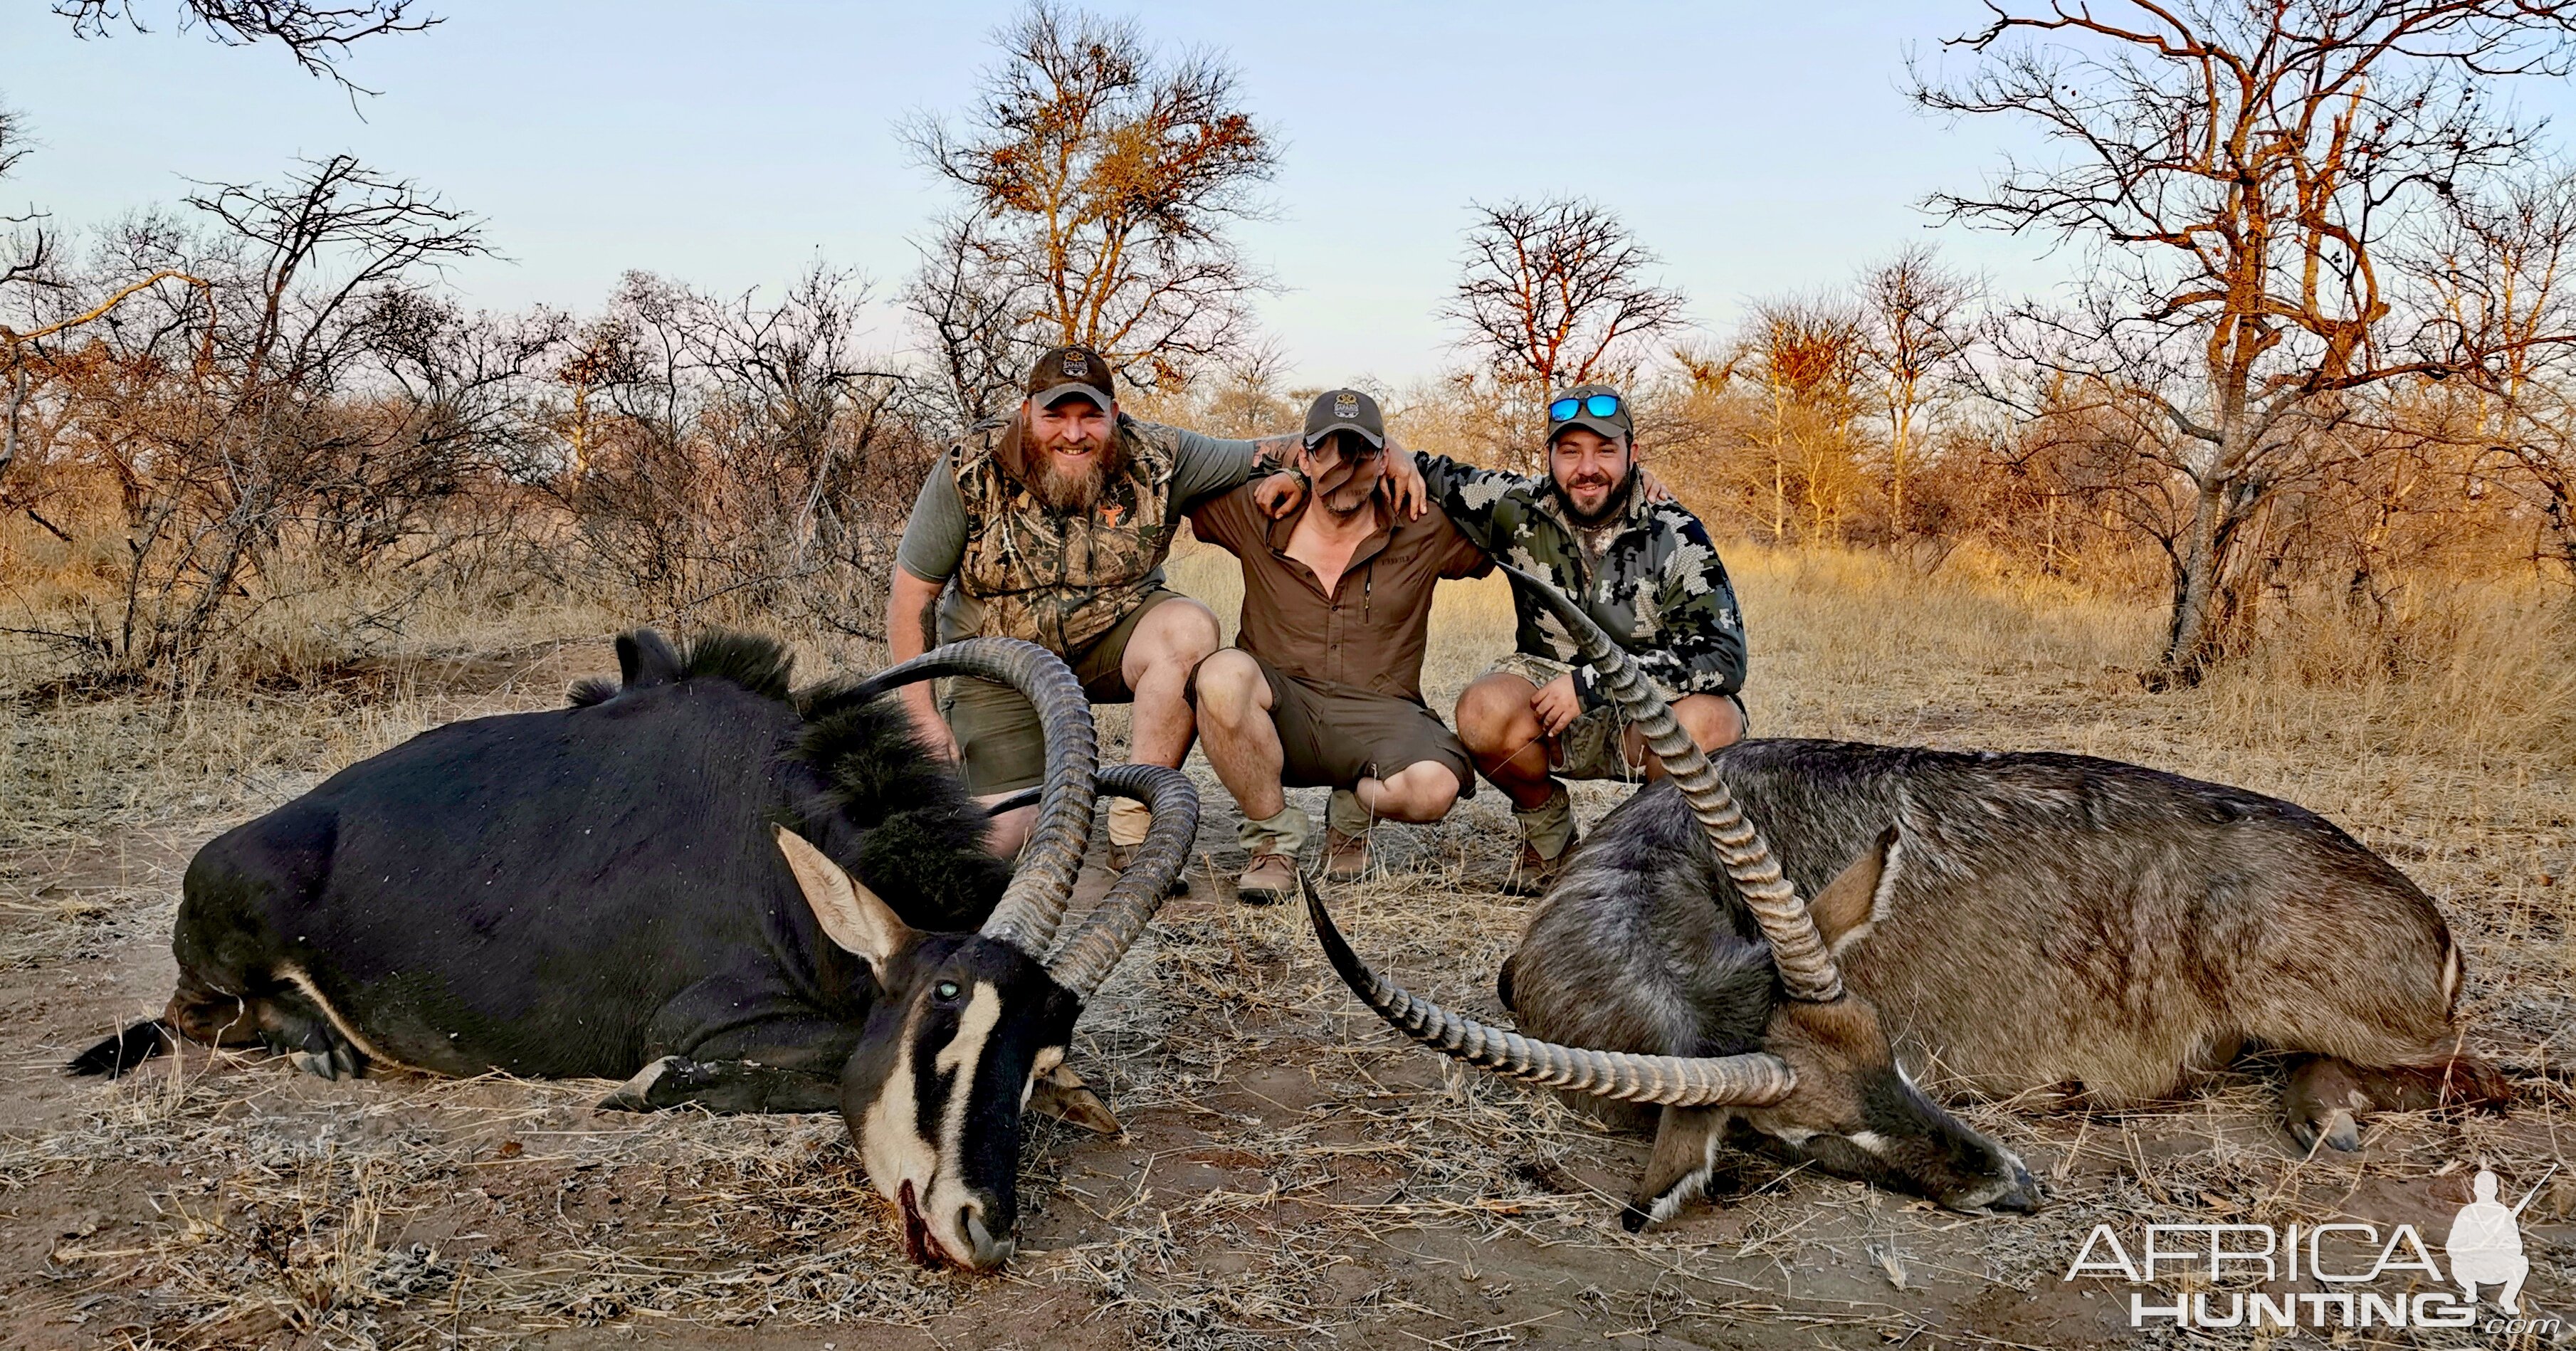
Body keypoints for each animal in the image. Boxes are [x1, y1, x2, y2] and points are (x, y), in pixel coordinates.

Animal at [73, 629, 1195, 1273]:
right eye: (940, 1003)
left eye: (1038, 1059)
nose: (985, 1224)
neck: (777, 842)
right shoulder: (701, 1016)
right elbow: (818, 1053)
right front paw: (653, 1087)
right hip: (223, 950)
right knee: (193, 1014)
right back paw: (319, 1045)